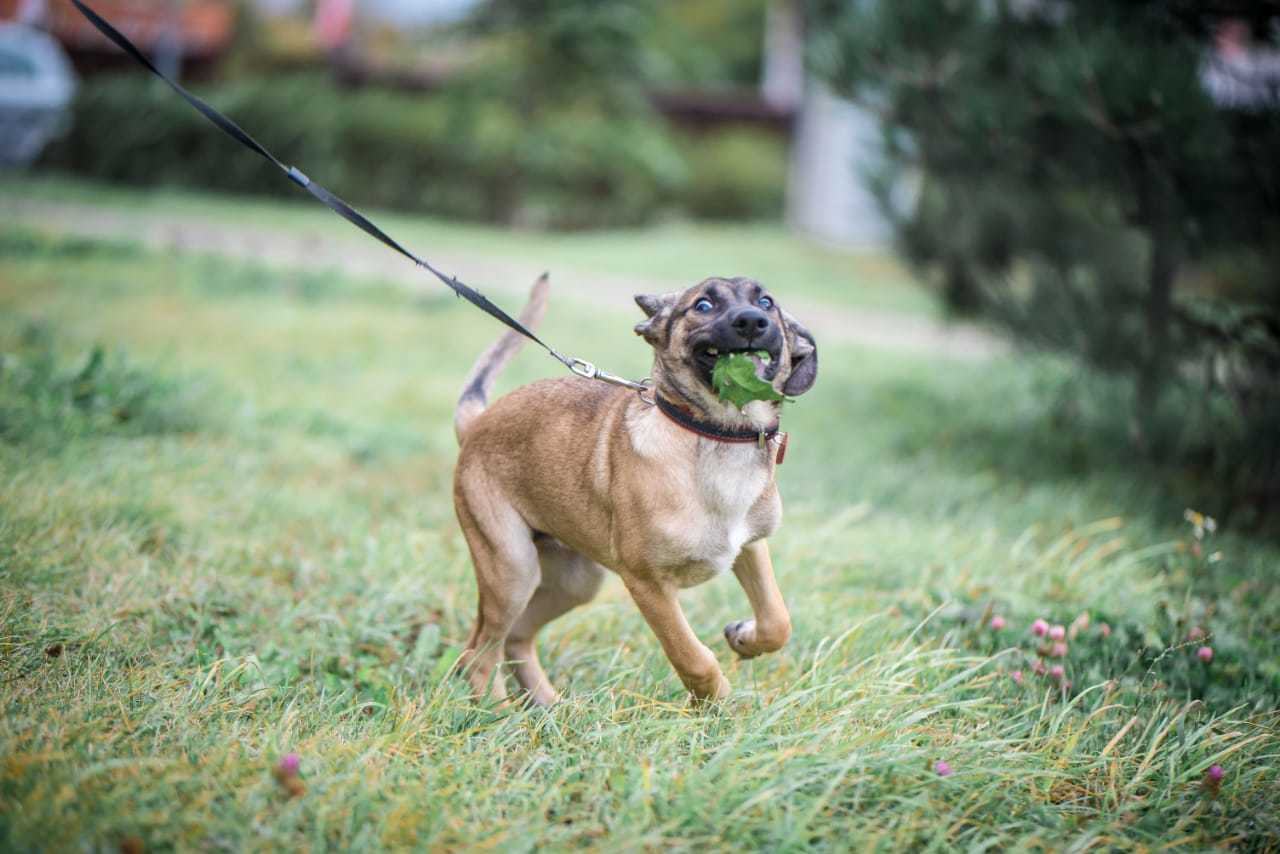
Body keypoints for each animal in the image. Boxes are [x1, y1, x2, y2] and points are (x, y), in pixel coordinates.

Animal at [450, 275, 819, 706]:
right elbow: (692, 656)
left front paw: (744, 639)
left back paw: (549, 707)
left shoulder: (749, 545)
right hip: (512, 568)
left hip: (575, 581)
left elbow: (778, 620)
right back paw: (497, 711)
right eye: (703, 305)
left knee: (515, 638)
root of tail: (476, 425)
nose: (751, 322)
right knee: (480, 651)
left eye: (766, 302)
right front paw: (720, 707)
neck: (717, 435)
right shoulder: (647, 582)